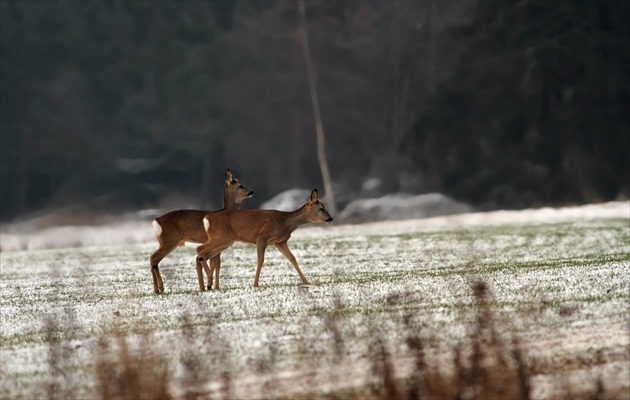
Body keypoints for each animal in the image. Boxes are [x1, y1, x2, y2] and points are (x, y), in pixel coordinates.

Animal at [198, 189, 336, 290]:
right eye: (321, 208)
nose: (330, 219)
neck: (284, 222)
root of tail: (207, 218)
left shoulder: (280, 242)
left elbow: (292, 258)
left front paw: (306, 281)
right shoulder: (262, 237)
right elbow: (260, 260)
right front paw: (255, 285)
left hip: (224, 241)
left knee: (204, 254)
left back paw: (205, 285)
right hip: (221, 238)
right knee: (200, 249)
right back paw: (208, 282)